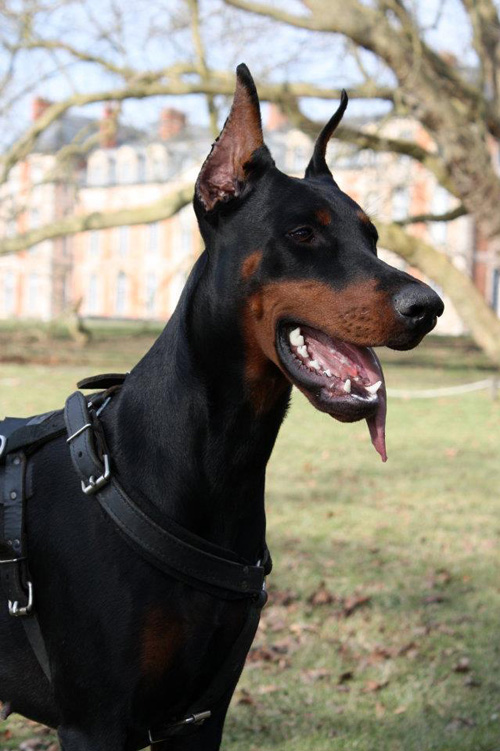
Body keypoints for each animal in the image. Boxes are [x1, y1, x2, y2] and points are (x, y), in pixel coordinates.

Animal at [0, 66, 444, 751]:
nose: (428, 307)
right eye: (303, 233)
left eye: (371, 236)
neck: (220, 457)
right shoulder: (96, 720)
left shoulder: (203, 713)